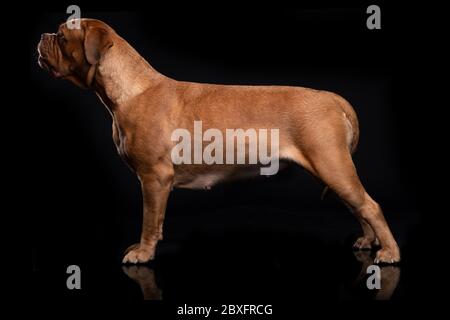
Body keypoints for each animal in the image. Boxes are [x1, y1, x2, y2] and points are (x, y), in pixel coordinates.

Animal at [37, 18, 400, 262]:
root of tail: (333, 98)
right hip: (329, 170)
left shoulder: (154, 179)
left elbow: (150, 221)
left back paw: (389, 252)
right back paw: (368, 241)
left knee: (370, 206)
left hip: (331, 164)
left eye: (62, 36)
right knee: (358, 206)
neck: (129, 88)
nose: (42, 35)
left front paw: (143, 252)